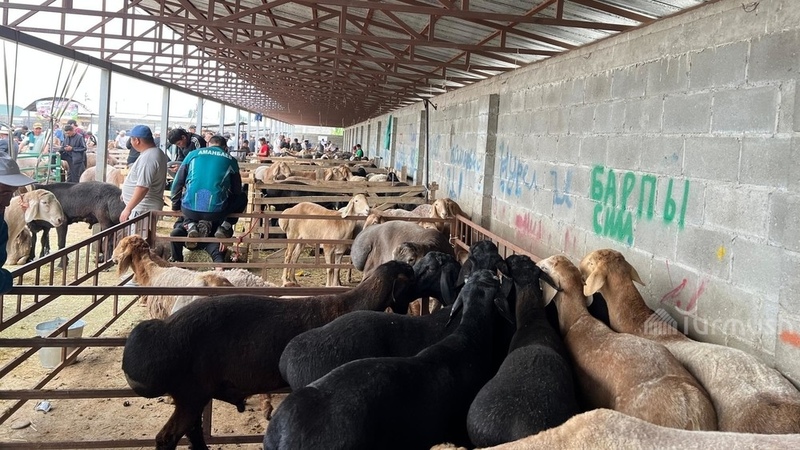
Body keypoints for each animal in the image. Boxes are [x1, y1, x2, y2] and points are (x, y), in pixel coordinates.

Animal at [122, 260, 418, 450]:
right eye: (411, 274)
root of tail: (161, 334)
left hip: (192, 396)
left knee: (191, 434)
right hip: (190, 393)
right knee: (168, 438)